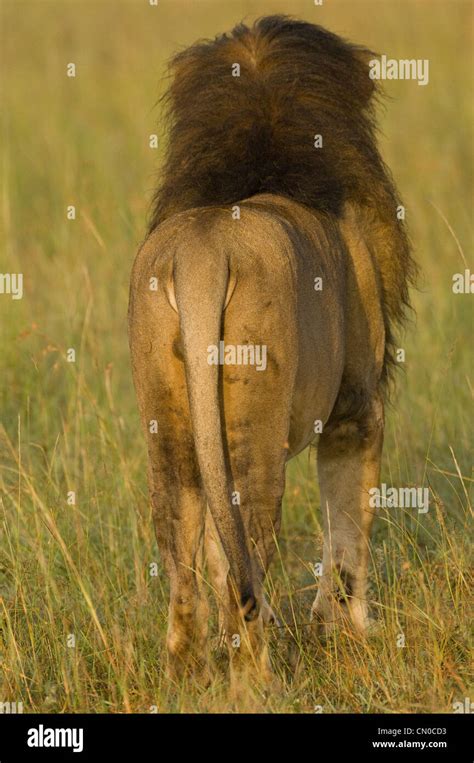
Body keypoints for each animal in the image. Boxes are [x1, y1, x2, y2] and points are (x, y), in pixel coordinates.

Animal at [128, 16, 416, 688]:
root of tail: (201, 254)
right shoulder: (356, 411)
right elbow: (349, 527)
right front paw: (348, 631)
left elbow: (216, 551)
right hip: (255, 432)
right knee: (247, 565)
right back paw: (257, 679)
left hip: (171, 423)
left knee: (185, 559)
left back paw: (190, 675)